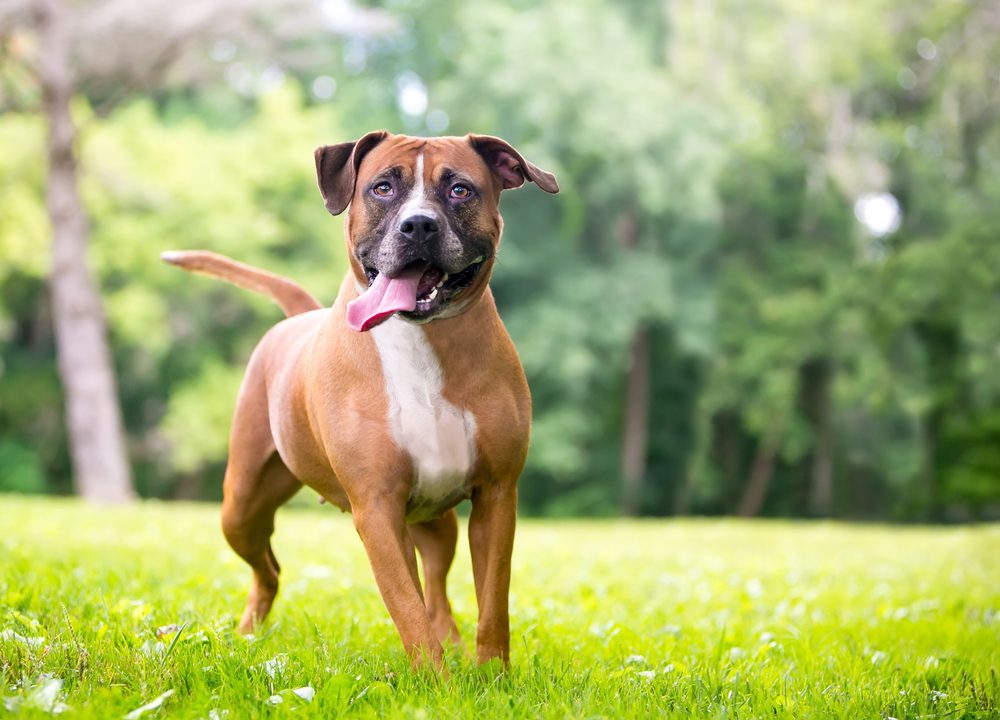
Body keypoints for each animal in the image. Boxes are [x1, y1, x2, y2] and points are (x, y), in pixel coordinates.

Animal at [161, 132, 560, 668]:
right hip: (240, 508)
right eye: (382, 187)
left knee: (437, 585)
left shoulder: (496, 495)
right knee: (269, 567)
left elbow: (491, 605)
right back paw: (248, 633)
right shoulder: (376, 508)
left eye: (459, 189)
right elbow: (408, 610)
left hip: (436, 521)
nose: (419, 224)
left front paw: (491, 676)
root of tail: (299, 317)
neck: (421, 340)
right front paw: (436, 679)